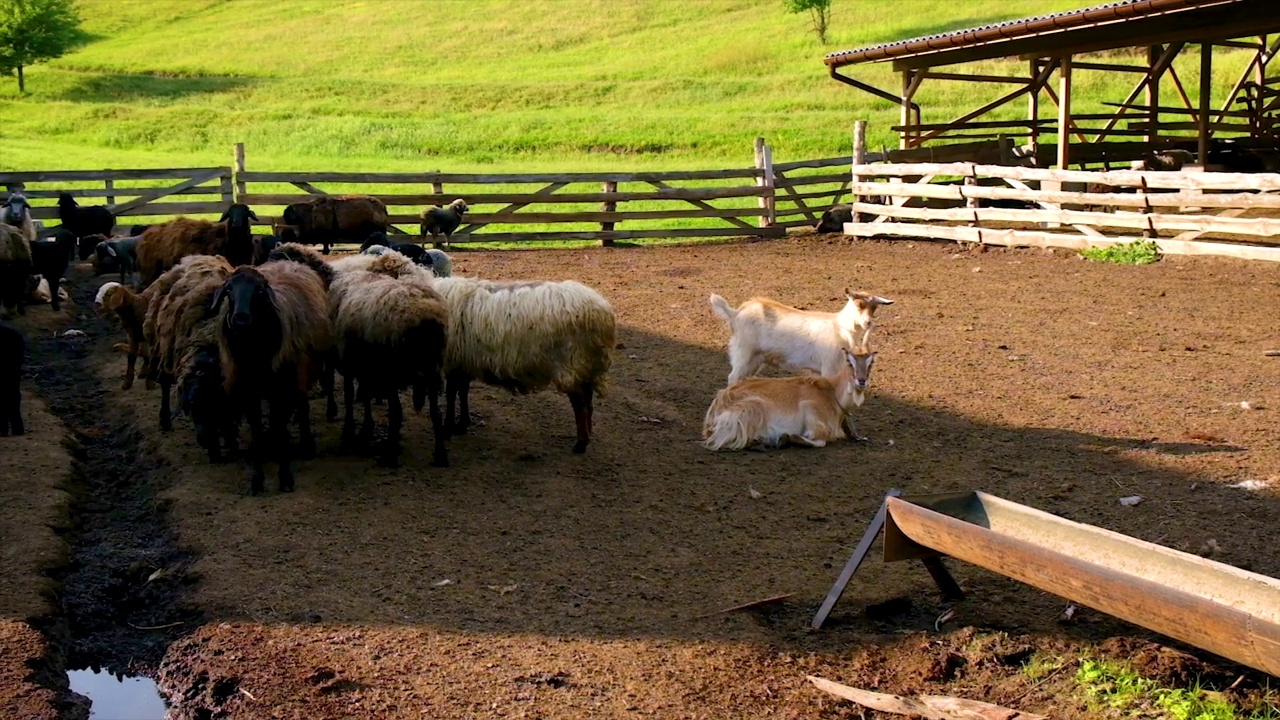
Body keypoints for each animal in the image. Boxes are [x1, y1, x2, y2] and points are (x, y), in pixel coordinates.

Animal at [209, 258, 332, 491]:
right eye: (229, 290)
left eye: (259, 291)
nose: (240, 319)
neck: (255, 356)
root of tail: (288, 262)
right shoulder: (249, 393)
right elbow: (257, 433)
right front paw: (257, 479)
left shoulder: (281, 390)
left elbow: (280, 428)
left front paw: (285, 477)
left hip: (300, 374)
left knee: (302, 407)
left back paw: (306, 445)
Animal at [432, 271, 616, 450]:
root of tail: (603, 312)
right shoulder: (462, 363)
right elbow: (462, 392)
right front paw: (462, 424)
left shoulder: (453, 361)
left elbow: (451, 394)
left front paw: (447, 428)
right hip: (585, 365)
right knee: (588, 401)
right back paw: (588, 434)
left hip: (570, 363)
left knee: (580, 404)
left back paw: (581, 443)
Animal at [701, 340, 880, 448]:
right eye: (850, 362)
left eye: (870, 363)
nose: (861, 381)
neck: (832, 394)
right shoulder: (810, 409)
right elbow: (820, 440)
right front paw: (789, 437)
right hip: (753, 408)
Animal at [711, 288, 890, 384]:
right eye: (859, 304)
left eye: (875, 307)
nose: (868, 323)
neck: (840, 327)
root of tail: (735, 313)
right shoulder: (829, 367)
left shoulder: (818, 370)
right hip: (743, 352)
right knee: (733, 377)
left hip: (755, 359)